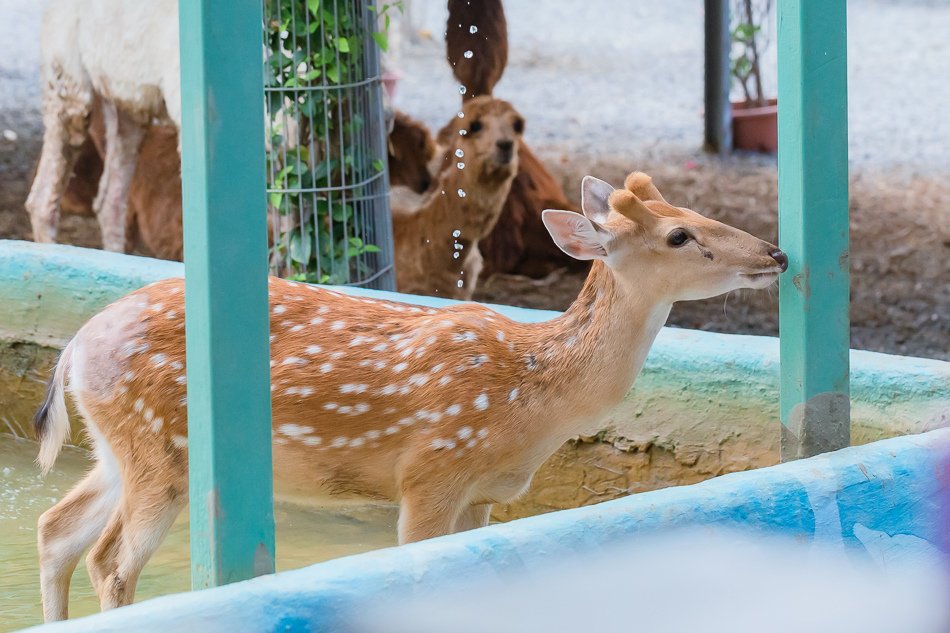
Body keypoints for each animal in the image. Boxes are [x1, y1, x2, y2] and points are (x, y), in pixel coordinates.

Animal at [33, 170, 788, 620]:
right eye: (679, 234)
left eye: (690, 211)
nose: (776, 253)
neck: (533, 404)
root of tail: (76, 344)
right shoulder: (434, 471)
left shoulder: (482, 494)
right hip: (157, 451)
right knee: (110, 562)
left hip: (118, 448)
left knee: (55, 529)